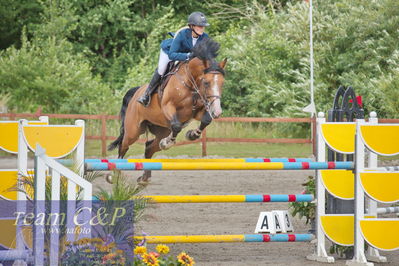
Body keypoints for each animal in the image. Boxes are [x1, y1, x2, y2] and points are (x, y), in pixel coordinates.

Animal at [108, 38, 228, 182]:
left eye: (222, 83)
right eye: (206, 83)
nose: (217, 112)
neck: (190, 82)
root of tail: (135, 93)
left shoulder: (196, 111)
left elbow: (206, 120)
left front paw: (192, 135)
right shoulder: (168, 107)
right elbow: (176, 126)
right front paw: (168, 142)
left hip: (162, 129)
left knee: (149, 148)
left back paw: (144, 178)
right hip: (133, 131)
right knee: (123, 146)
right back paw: (114, 175)